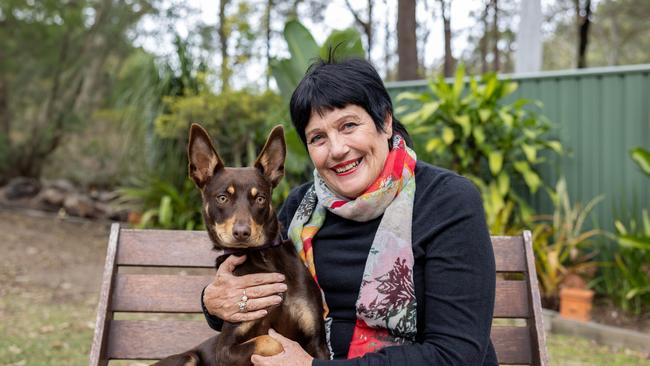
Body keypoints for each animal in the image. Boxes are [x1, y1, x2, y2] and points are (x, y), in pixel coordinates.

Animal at [153, 124, 330, 364]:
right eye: (222, 198)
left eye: (260, 198)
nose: (241, 233)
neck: (261, 256)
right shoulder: (225, 350)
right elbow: (270, 341)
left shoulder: (317, 343)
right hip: (187, 357)